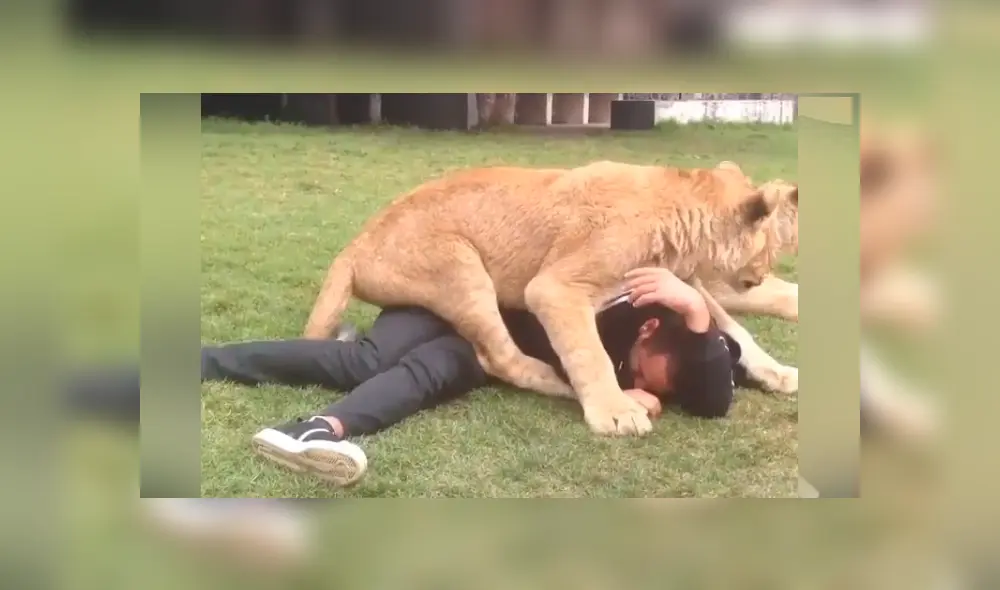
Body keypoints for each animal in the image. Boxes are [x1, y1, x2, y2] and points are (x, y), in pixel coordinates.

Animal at [302, 160, 790, 437]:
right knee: (500, 358)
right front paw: (615, 414)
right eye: (771, 244)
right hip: (461, 267)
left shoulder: (681, 282)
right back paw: (573, 385)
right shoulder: (555, 287)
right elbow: (590, 353)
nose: (762, 274)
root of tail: (353, 246)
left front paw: (780, 373)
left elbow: (733, 329)